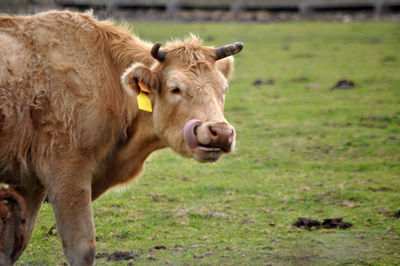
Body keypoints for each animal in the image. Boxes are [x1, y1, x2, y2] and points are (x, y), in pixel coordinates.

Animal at [0, 9, 244, 264]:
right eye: (175, 88)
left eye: (223, 89)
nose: (221, 133)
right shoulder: (67, 172)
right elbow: (81, 248)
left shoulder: (29, 183)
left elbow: (10, 247)